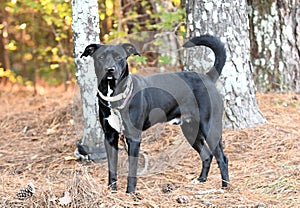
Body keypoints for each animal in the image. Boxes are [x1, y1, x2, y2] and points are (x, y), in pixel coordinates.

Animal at [80, 34, 230, 193]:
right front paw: (112, 190)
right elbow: (112, 167)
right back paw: (201, 179)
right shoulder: (110, 137)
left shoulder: (133, 138)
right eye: (101, 57)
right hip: (190, 130)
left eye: (119, 57)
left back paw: (224, 187)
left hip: (210, 127)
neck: (116, 97)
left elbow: (132, 169)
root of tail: (207, 77)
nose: (110, 69)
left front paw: (130, 192)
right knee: (207, 155)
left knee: (222, 157)